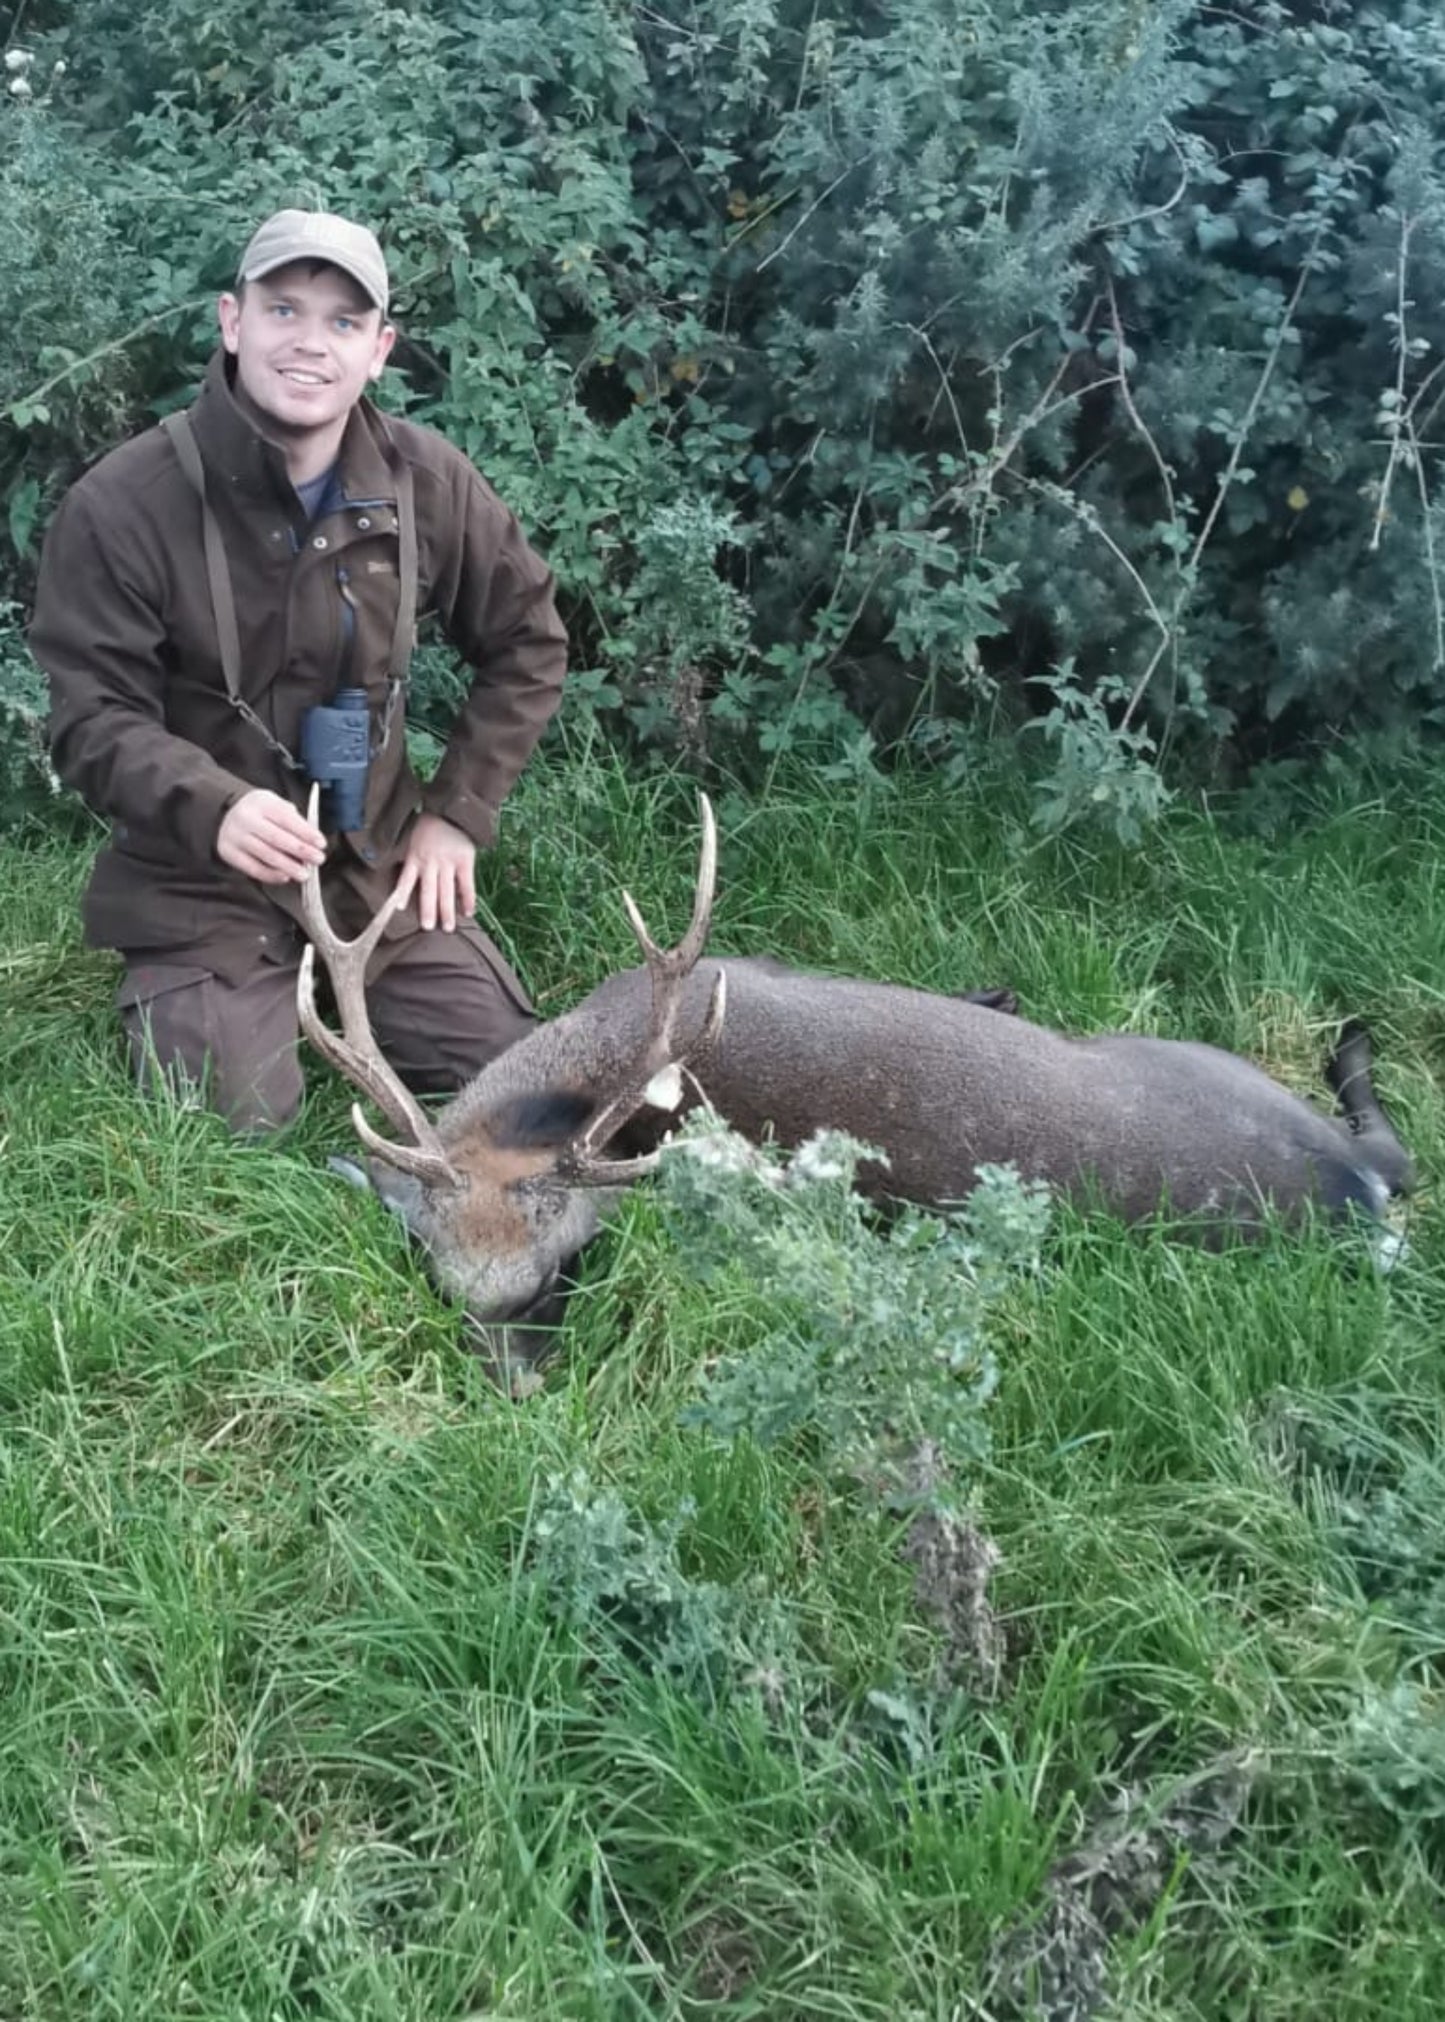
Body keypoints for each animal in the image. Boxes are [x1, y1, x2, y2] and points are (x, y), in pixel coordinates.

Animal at [296, 793, 1413, 1387]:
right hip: (1197, 1060)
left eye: (560, 1275)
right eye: (440, 1286)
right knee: (1393, 1153)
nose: (515, 1390)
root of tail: (1339, 1191)